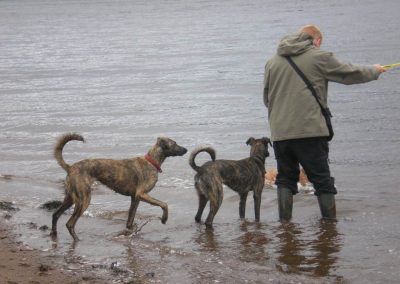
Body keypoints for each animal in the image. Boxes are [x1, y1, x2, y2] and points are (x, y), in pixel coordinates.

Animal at [50, 133, 187, 240]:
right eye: (174, 143)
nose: (186, 149)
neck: (151, 162)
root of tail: (70, 167)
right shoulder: (141, 194)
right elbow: (164, 204)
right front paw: (164, 219)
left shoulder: (135, 198)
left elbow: (130, 219)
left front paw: (130, 231)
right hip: (84, 199)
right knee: (70, 223)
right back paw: (77, 239)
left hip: (71, 198)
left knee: (55, 214)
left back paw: (54, 234)